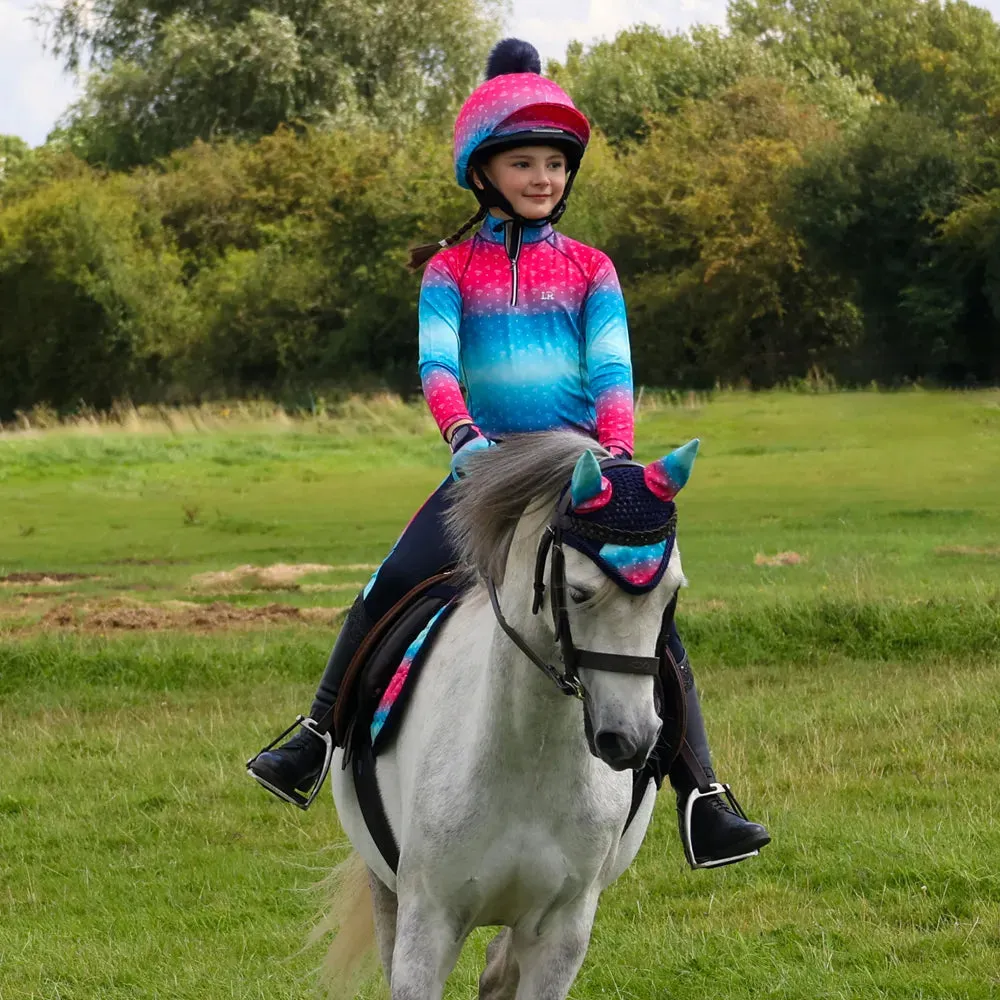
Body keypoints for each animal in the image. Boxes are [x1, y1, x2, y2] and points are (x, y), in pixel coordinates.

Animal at [324, 432, 692, 1000]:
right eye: (578, 592)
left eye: (672, 593)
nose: (630, 737)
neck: (528, 760)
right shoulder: (426, 924)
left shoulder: (561, 932)